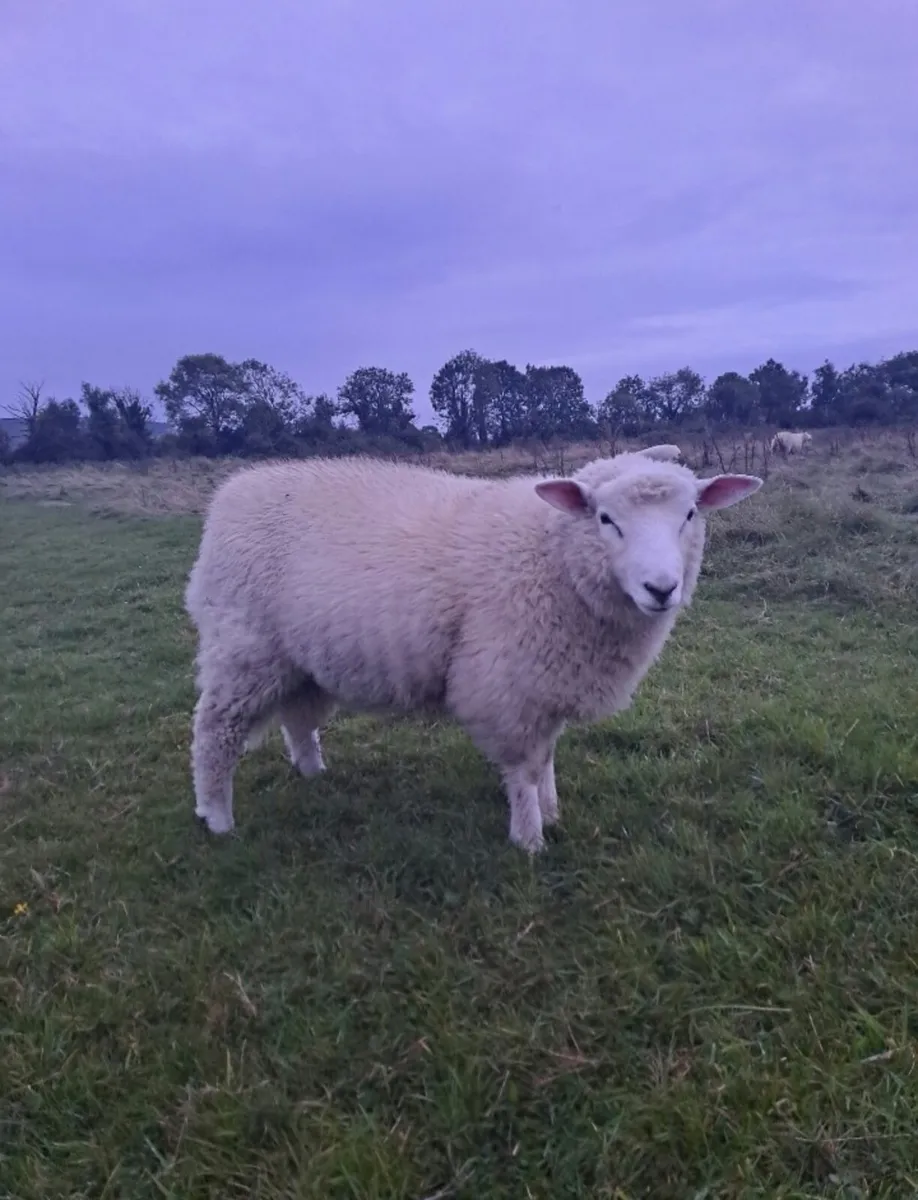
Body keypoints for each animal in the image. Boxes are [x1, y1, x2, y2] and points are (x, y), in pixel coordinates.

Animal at [185, 452, 762, 854]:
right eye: (604, 519)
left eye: (690, 513)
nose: (661, 588)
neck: (553, 556)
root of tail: (232, 491)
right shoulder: (509, 683)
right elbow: (524, 767)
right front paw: (529, 839)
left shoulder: (547, 676)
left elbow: (546, 756)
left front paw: (552, 811)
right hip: (243, 648)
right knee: (215, 732)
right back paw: (217, 817)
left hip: (296, 658)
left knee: (298, 717)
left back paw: (312, 773)